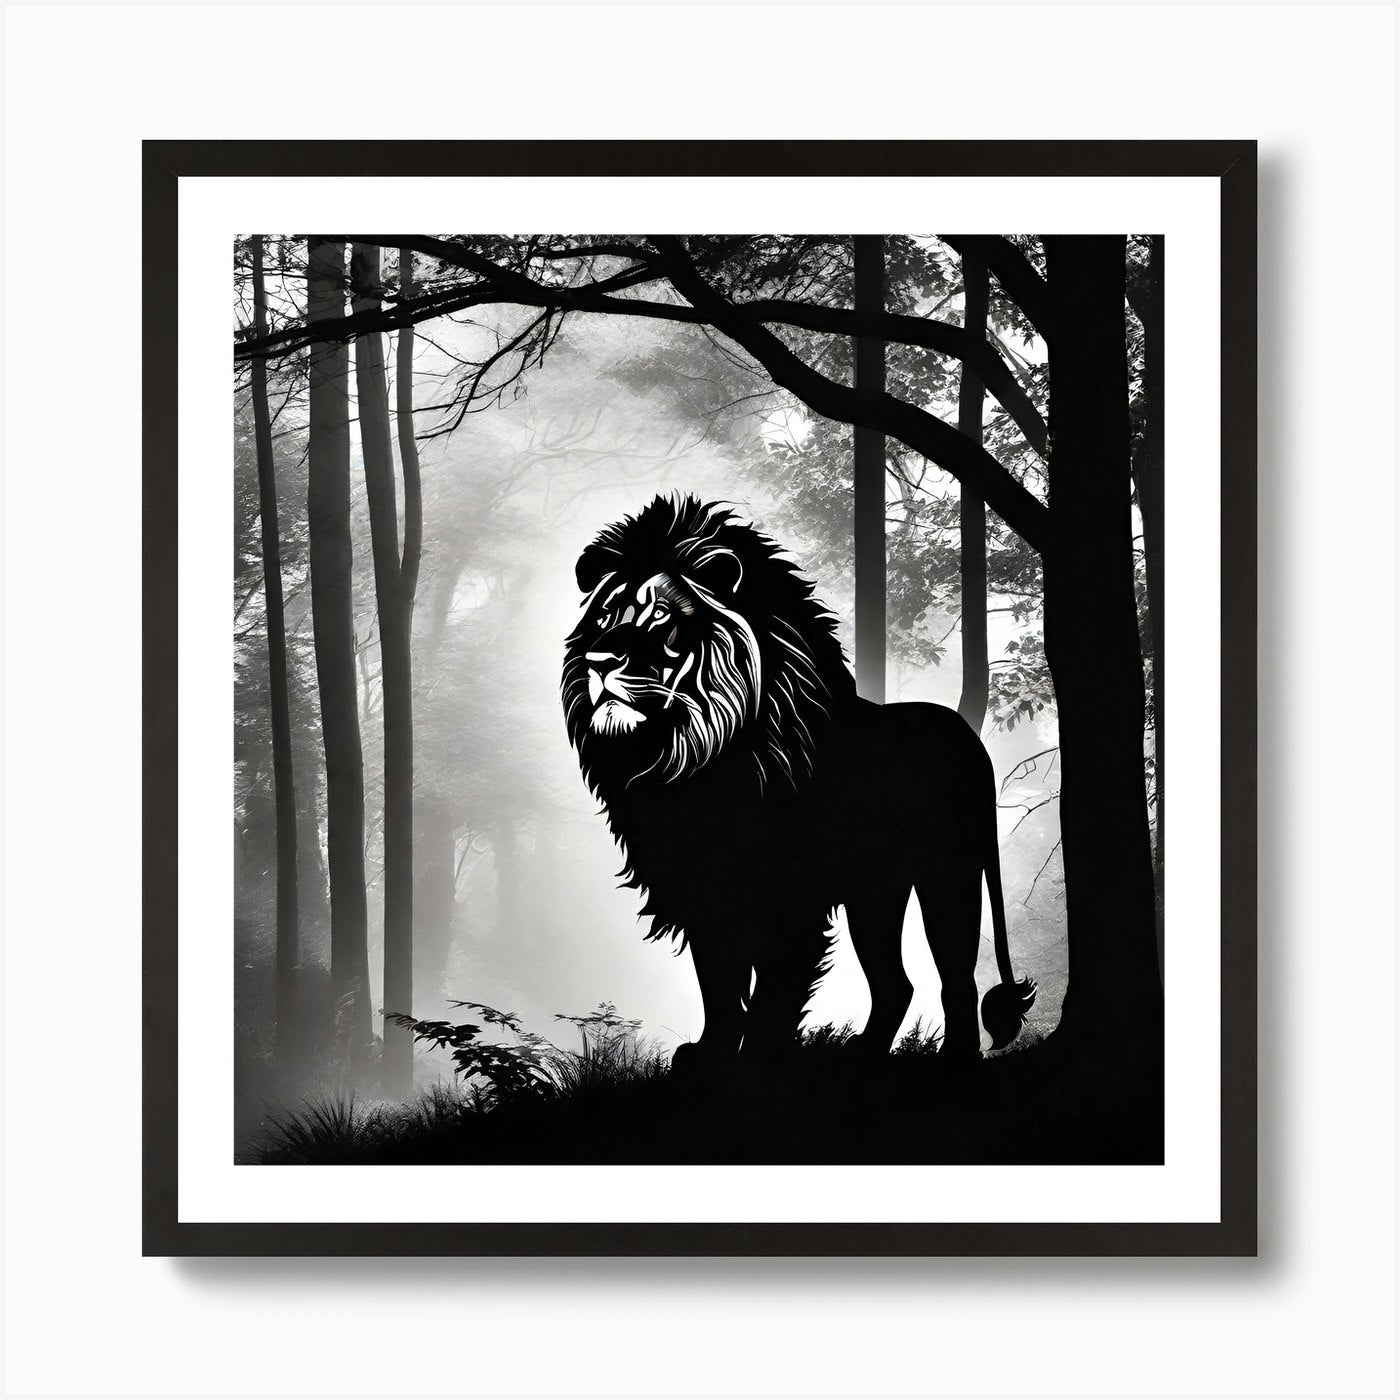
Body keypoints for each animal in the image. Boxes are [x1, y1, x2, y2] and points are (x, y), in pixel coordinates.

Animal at [562, 494, 1036, 1067]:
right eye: (606, 616)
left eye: (661, 615)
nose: (598, 660)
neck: (692, 757)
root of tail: (971, 740)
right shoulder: (705, 884)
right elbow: (719, 983)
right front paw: (710, 1055)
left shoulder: (792, 895)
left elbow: (775, 989)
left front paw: (758, 1059)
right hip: (876, 890)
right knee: (895, 982)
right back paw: (864, 1054)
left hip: (948, 870)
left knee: (956, 974)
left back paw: (955, 1059)